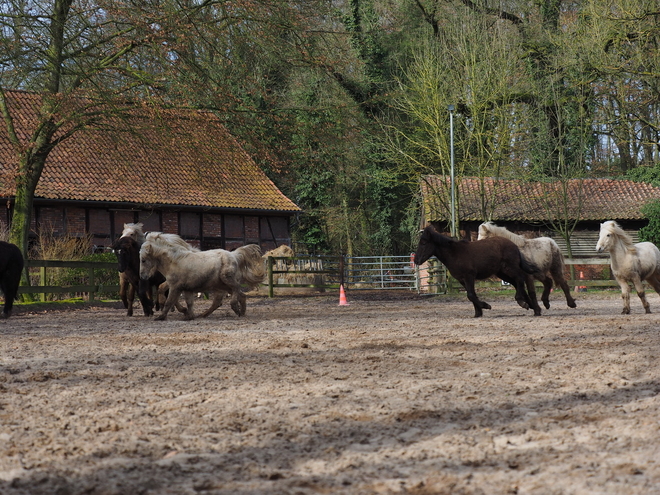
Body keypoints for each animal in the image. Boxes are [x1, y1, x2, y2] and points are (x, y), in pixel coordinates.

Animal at [416, 226, 544, 318]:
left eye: (424, 243)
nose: (416, 260)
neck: (454, 254)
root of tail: (514, 246)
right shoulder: (462, 280)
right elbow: (471, 295)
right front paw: (478, 313)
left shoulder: (469, 276)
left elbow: (471, 295)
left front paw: (485, 306)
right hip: (502, 273)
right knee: (517, 283)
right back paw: (533, 307)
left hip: (510, 268)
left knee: (520, 278)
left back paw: (523, 303)